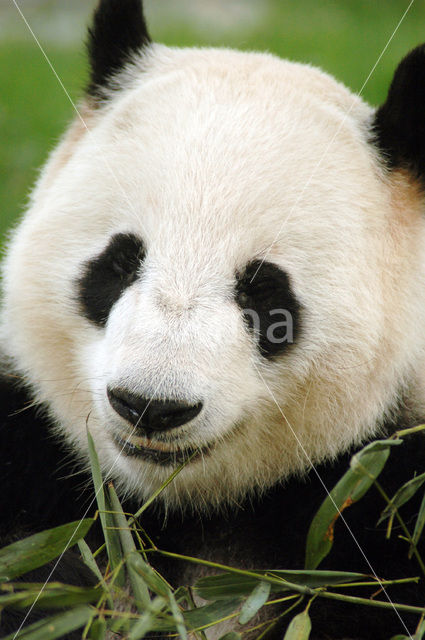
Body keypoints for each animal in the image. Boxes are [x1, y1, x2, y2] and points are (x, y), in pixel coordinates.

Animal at [0, 0, 424, 636]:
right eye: (120, 261)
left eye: (264, 292)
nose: (150, 406)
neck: (172, 509)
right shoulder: (28, 444)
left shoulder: (380, 494)